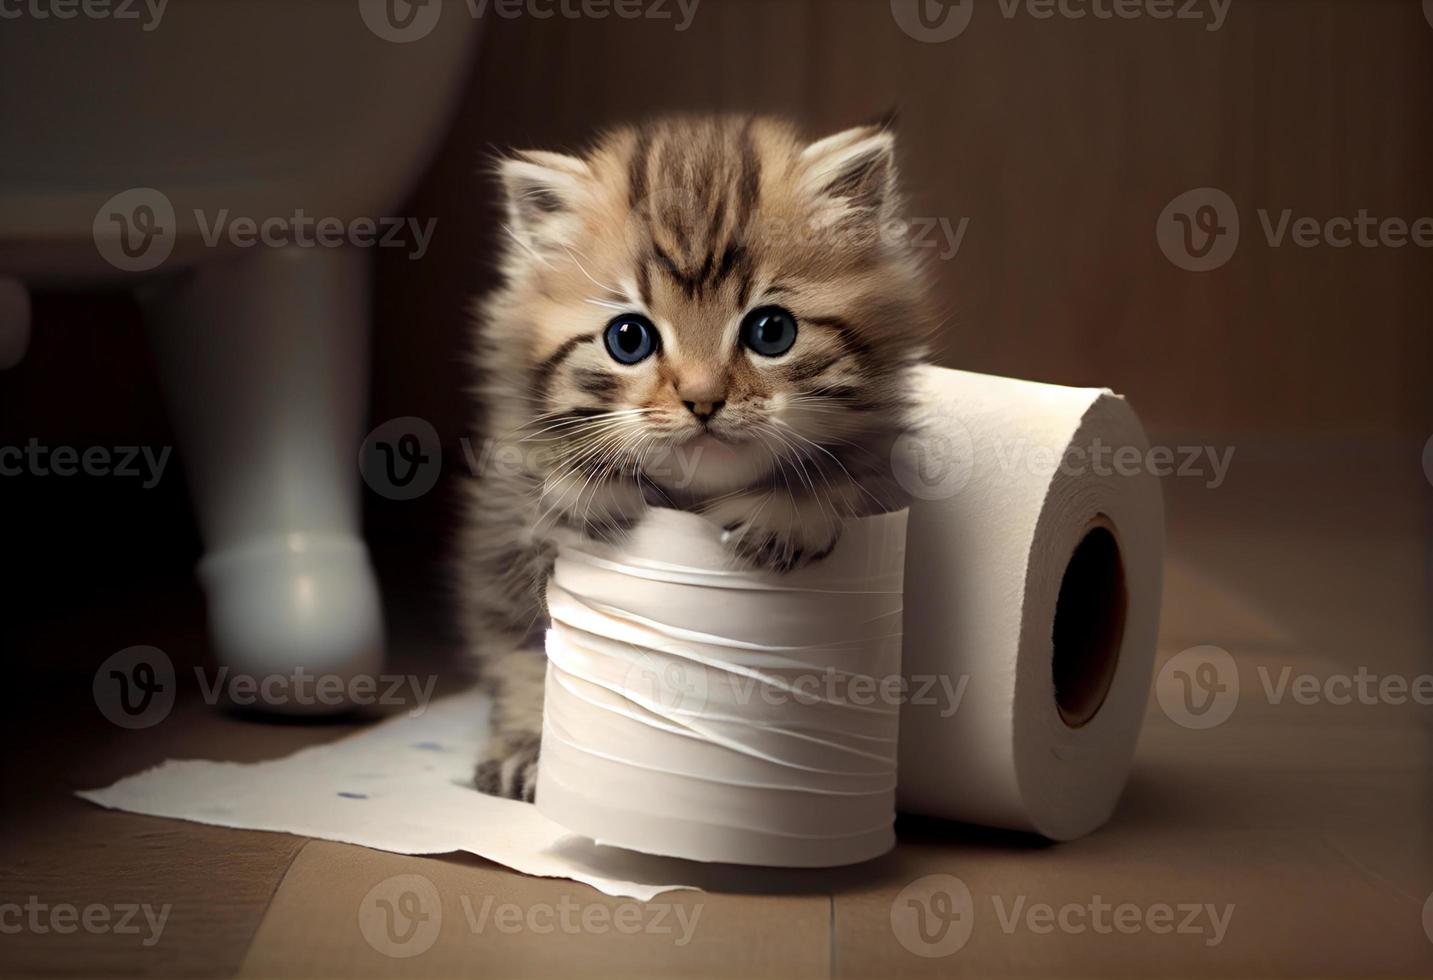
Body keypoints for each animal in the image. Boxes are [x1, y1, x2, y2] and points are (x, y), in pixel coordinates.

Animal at [458, 116, 928, 802]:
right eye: (629, 338)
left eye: (771, 332)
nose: (703, 400)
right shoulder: (503, 537)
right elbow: (521, 647)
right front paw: (527, 746)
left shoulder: (888, 468)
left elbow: (844, 469)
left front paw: (786, 512)